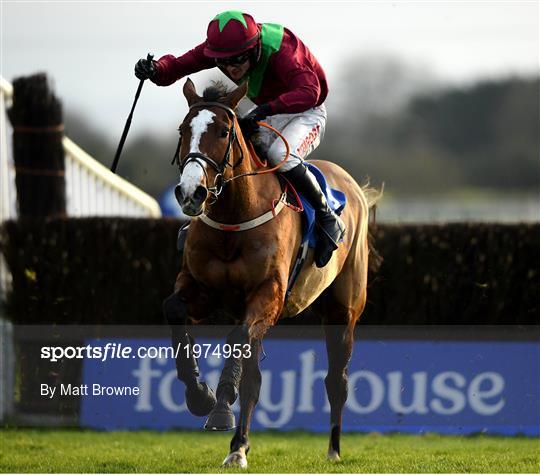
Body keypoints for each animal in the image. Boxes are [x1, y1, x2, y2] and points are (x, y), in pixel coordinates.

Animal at [162, 79, 382, 468]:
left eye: (223, 131)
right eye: (183, 130)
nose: (191, 193)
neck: (234, 220)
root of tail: (354, 187)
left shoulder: (269, 295)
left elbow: (238, 341)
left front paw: (221, 410)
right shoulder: (200, 289)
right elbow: (175, 311)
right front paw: (200, 395)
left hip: (343, 311)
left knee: (336, 380)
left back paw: (332, 449)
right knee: (255, 378)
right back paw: (239, 444)